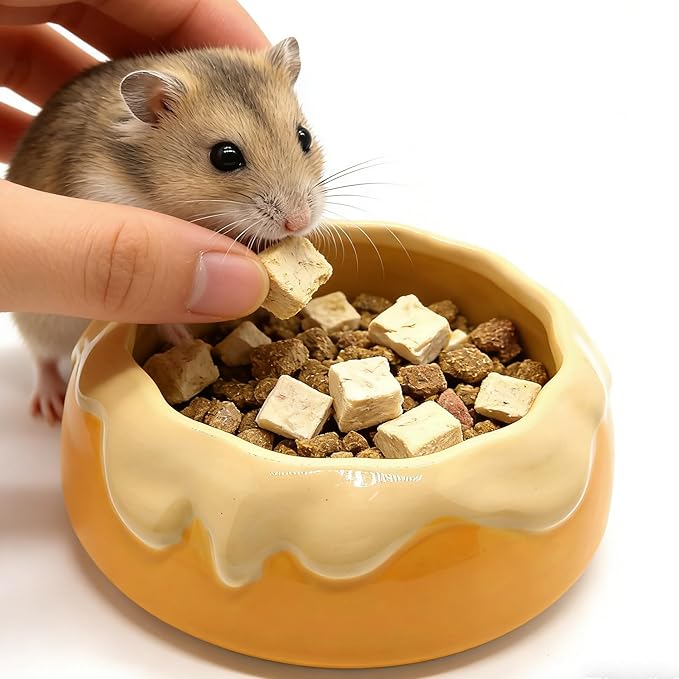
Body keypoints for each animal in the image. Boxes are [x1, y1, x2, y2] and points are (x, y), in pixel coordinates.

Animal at [7, 38, 325, 423]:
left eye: (304, 136)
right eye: (226, 156)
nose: (299, 222)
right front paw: (182, 337)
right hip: (37, 318)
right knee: (43, 360)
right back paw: (49, 408)